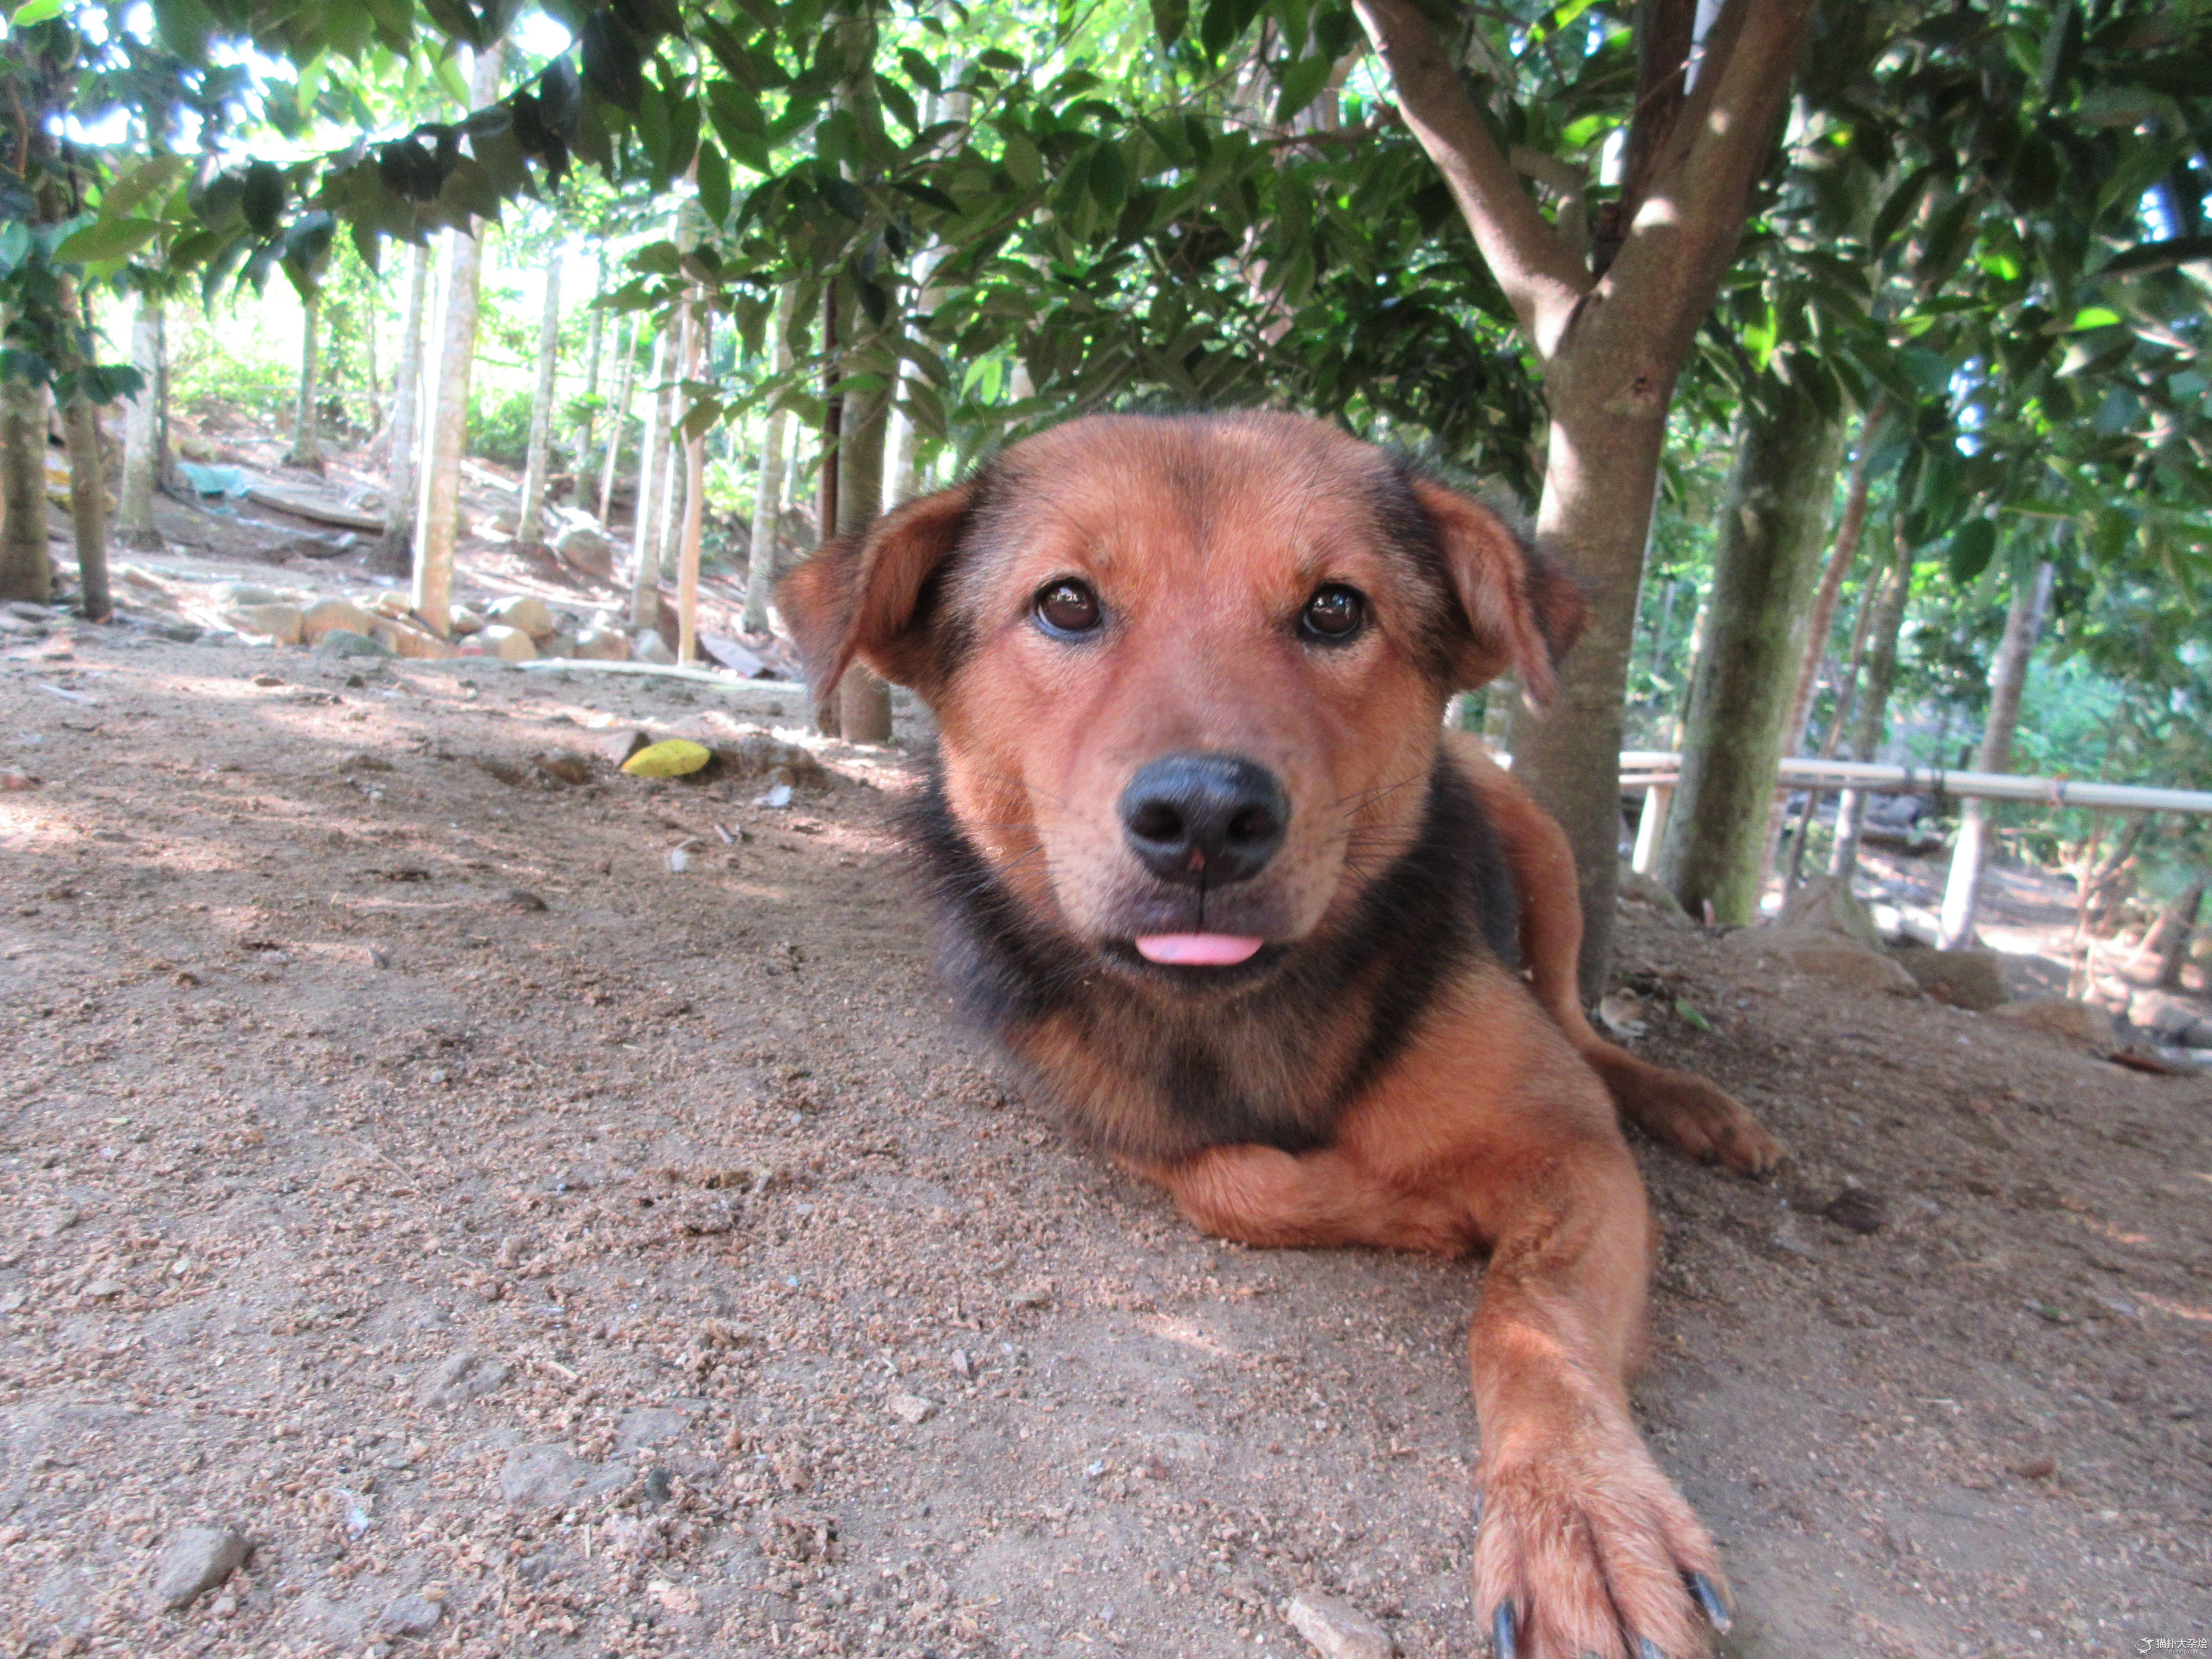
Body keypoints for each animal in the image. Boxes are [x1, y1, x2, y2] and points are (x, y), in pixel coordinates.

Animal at [778, 413, 1778, 1659]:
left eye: (1335, 609)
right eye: (1065, 603)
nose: (1206, 817)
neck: (1234, 1014)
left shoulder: (1573, 1149)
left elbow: (1532, 1321)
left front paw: (1581, 1516)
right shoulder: (1123, 1126)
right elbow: (1235, 1182)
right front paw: (1415, 1209)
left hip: (1537, 842)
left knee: (1582, 1024)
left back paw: (1693, 1104)